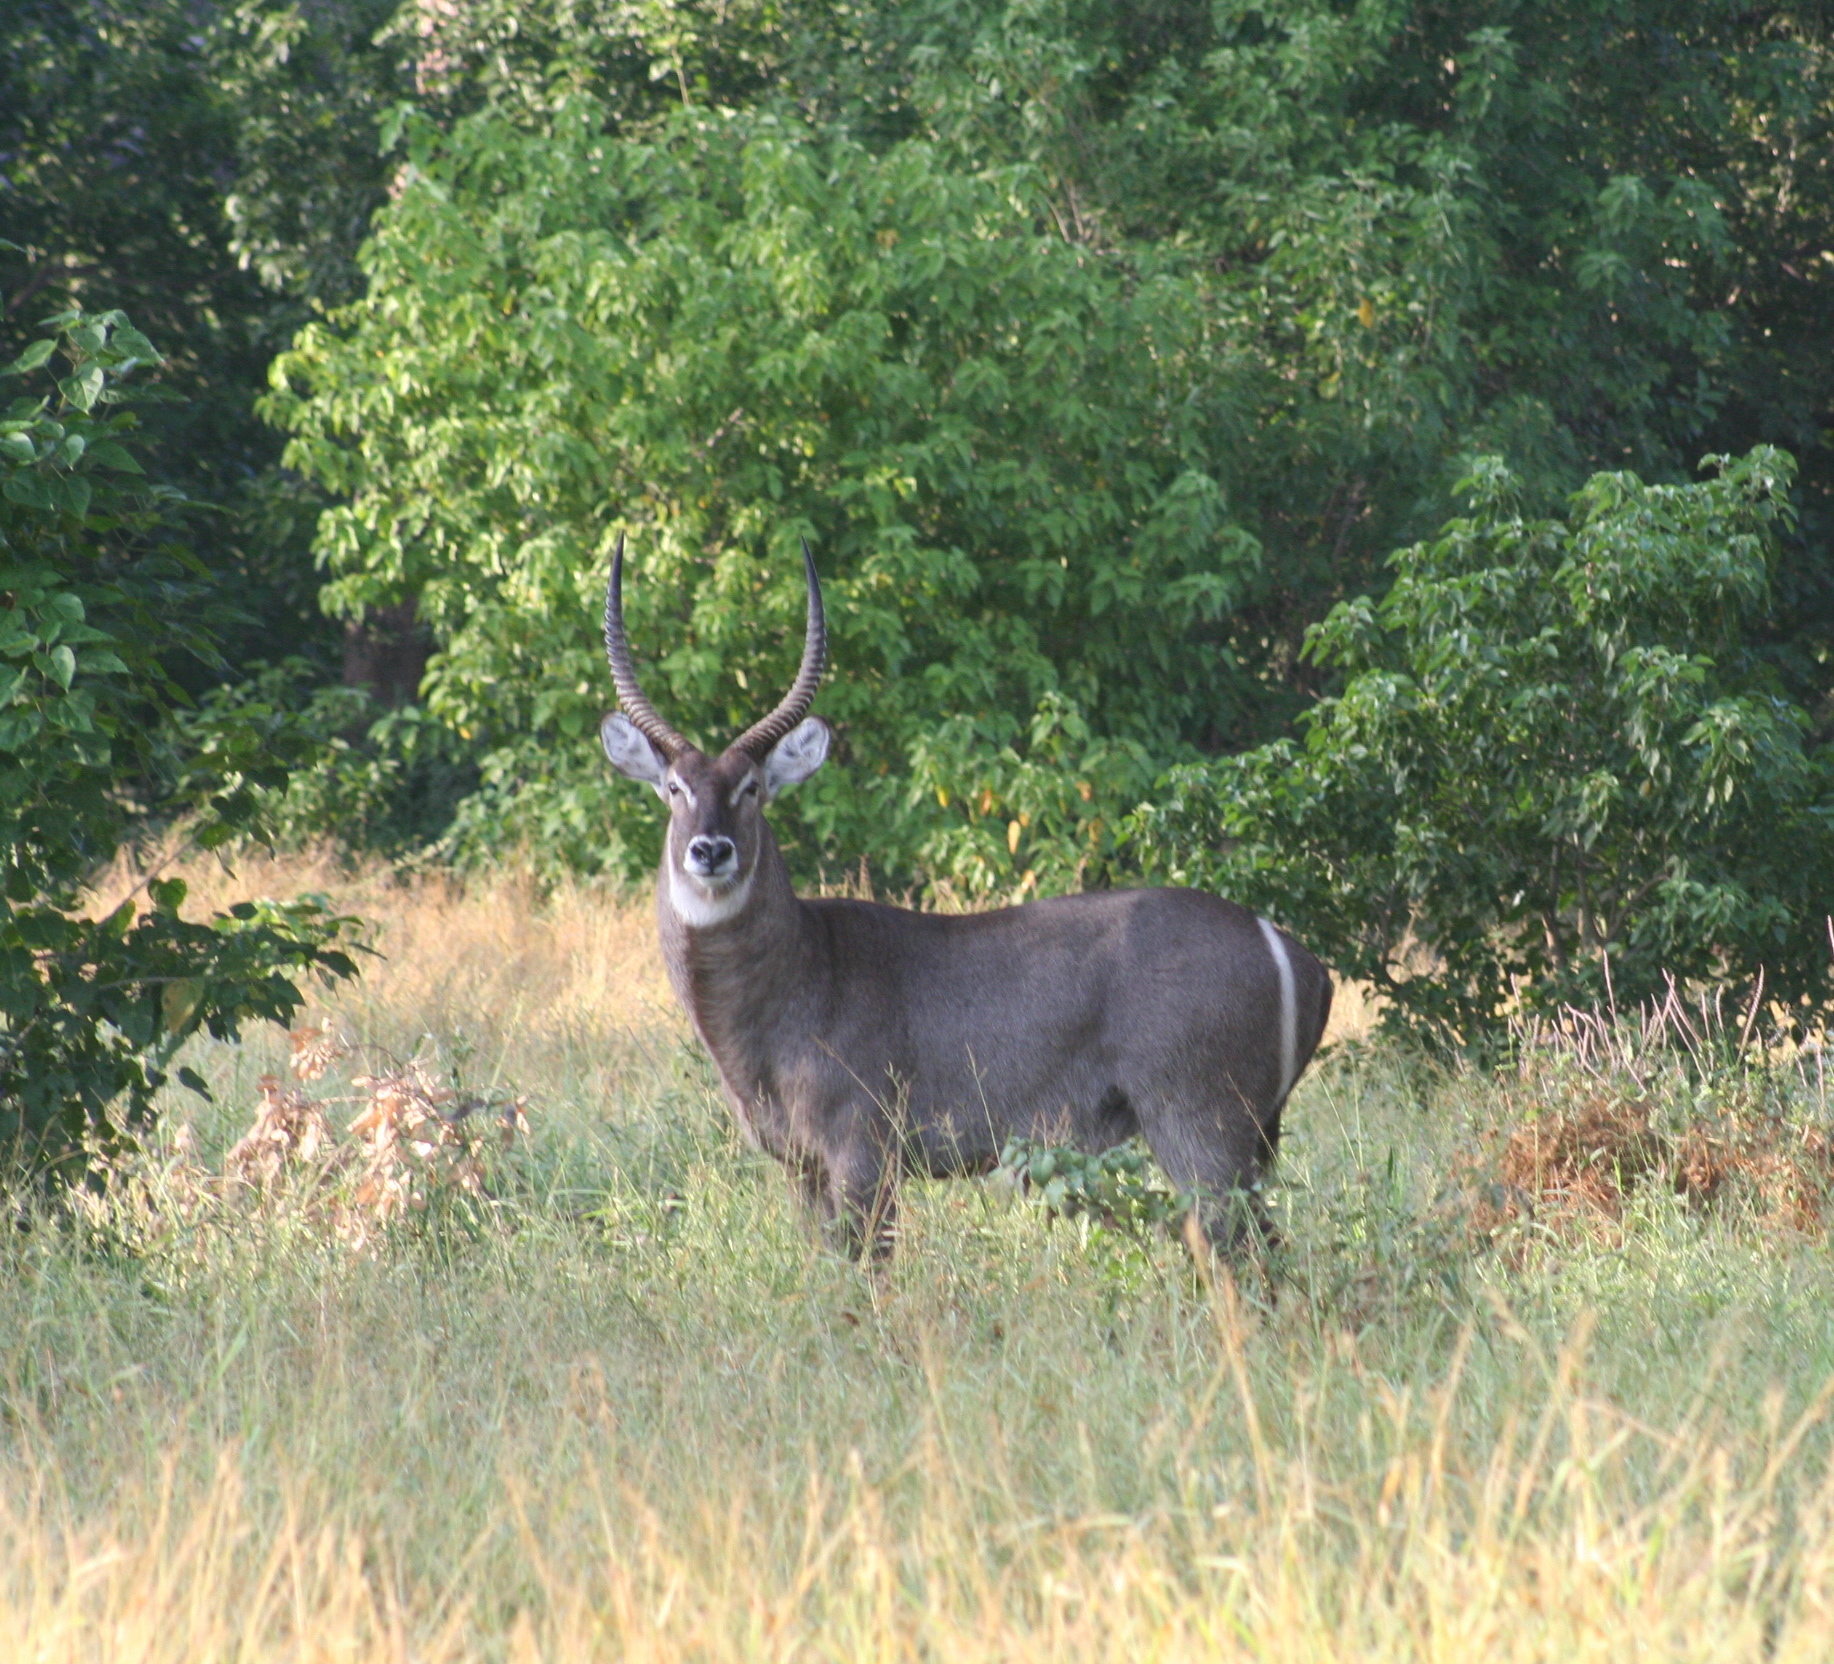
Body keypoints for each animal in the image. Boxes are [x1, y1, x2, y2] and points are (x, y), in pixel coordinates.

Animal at [601, 539, 1335, 1254]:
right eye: (674, 788)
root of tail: (1294, 952)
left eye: (751, 787)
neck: (803, 969)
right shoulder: (799, 1164)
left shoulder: (864, 1151)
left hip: (1202, 1127)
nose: (711, 850)